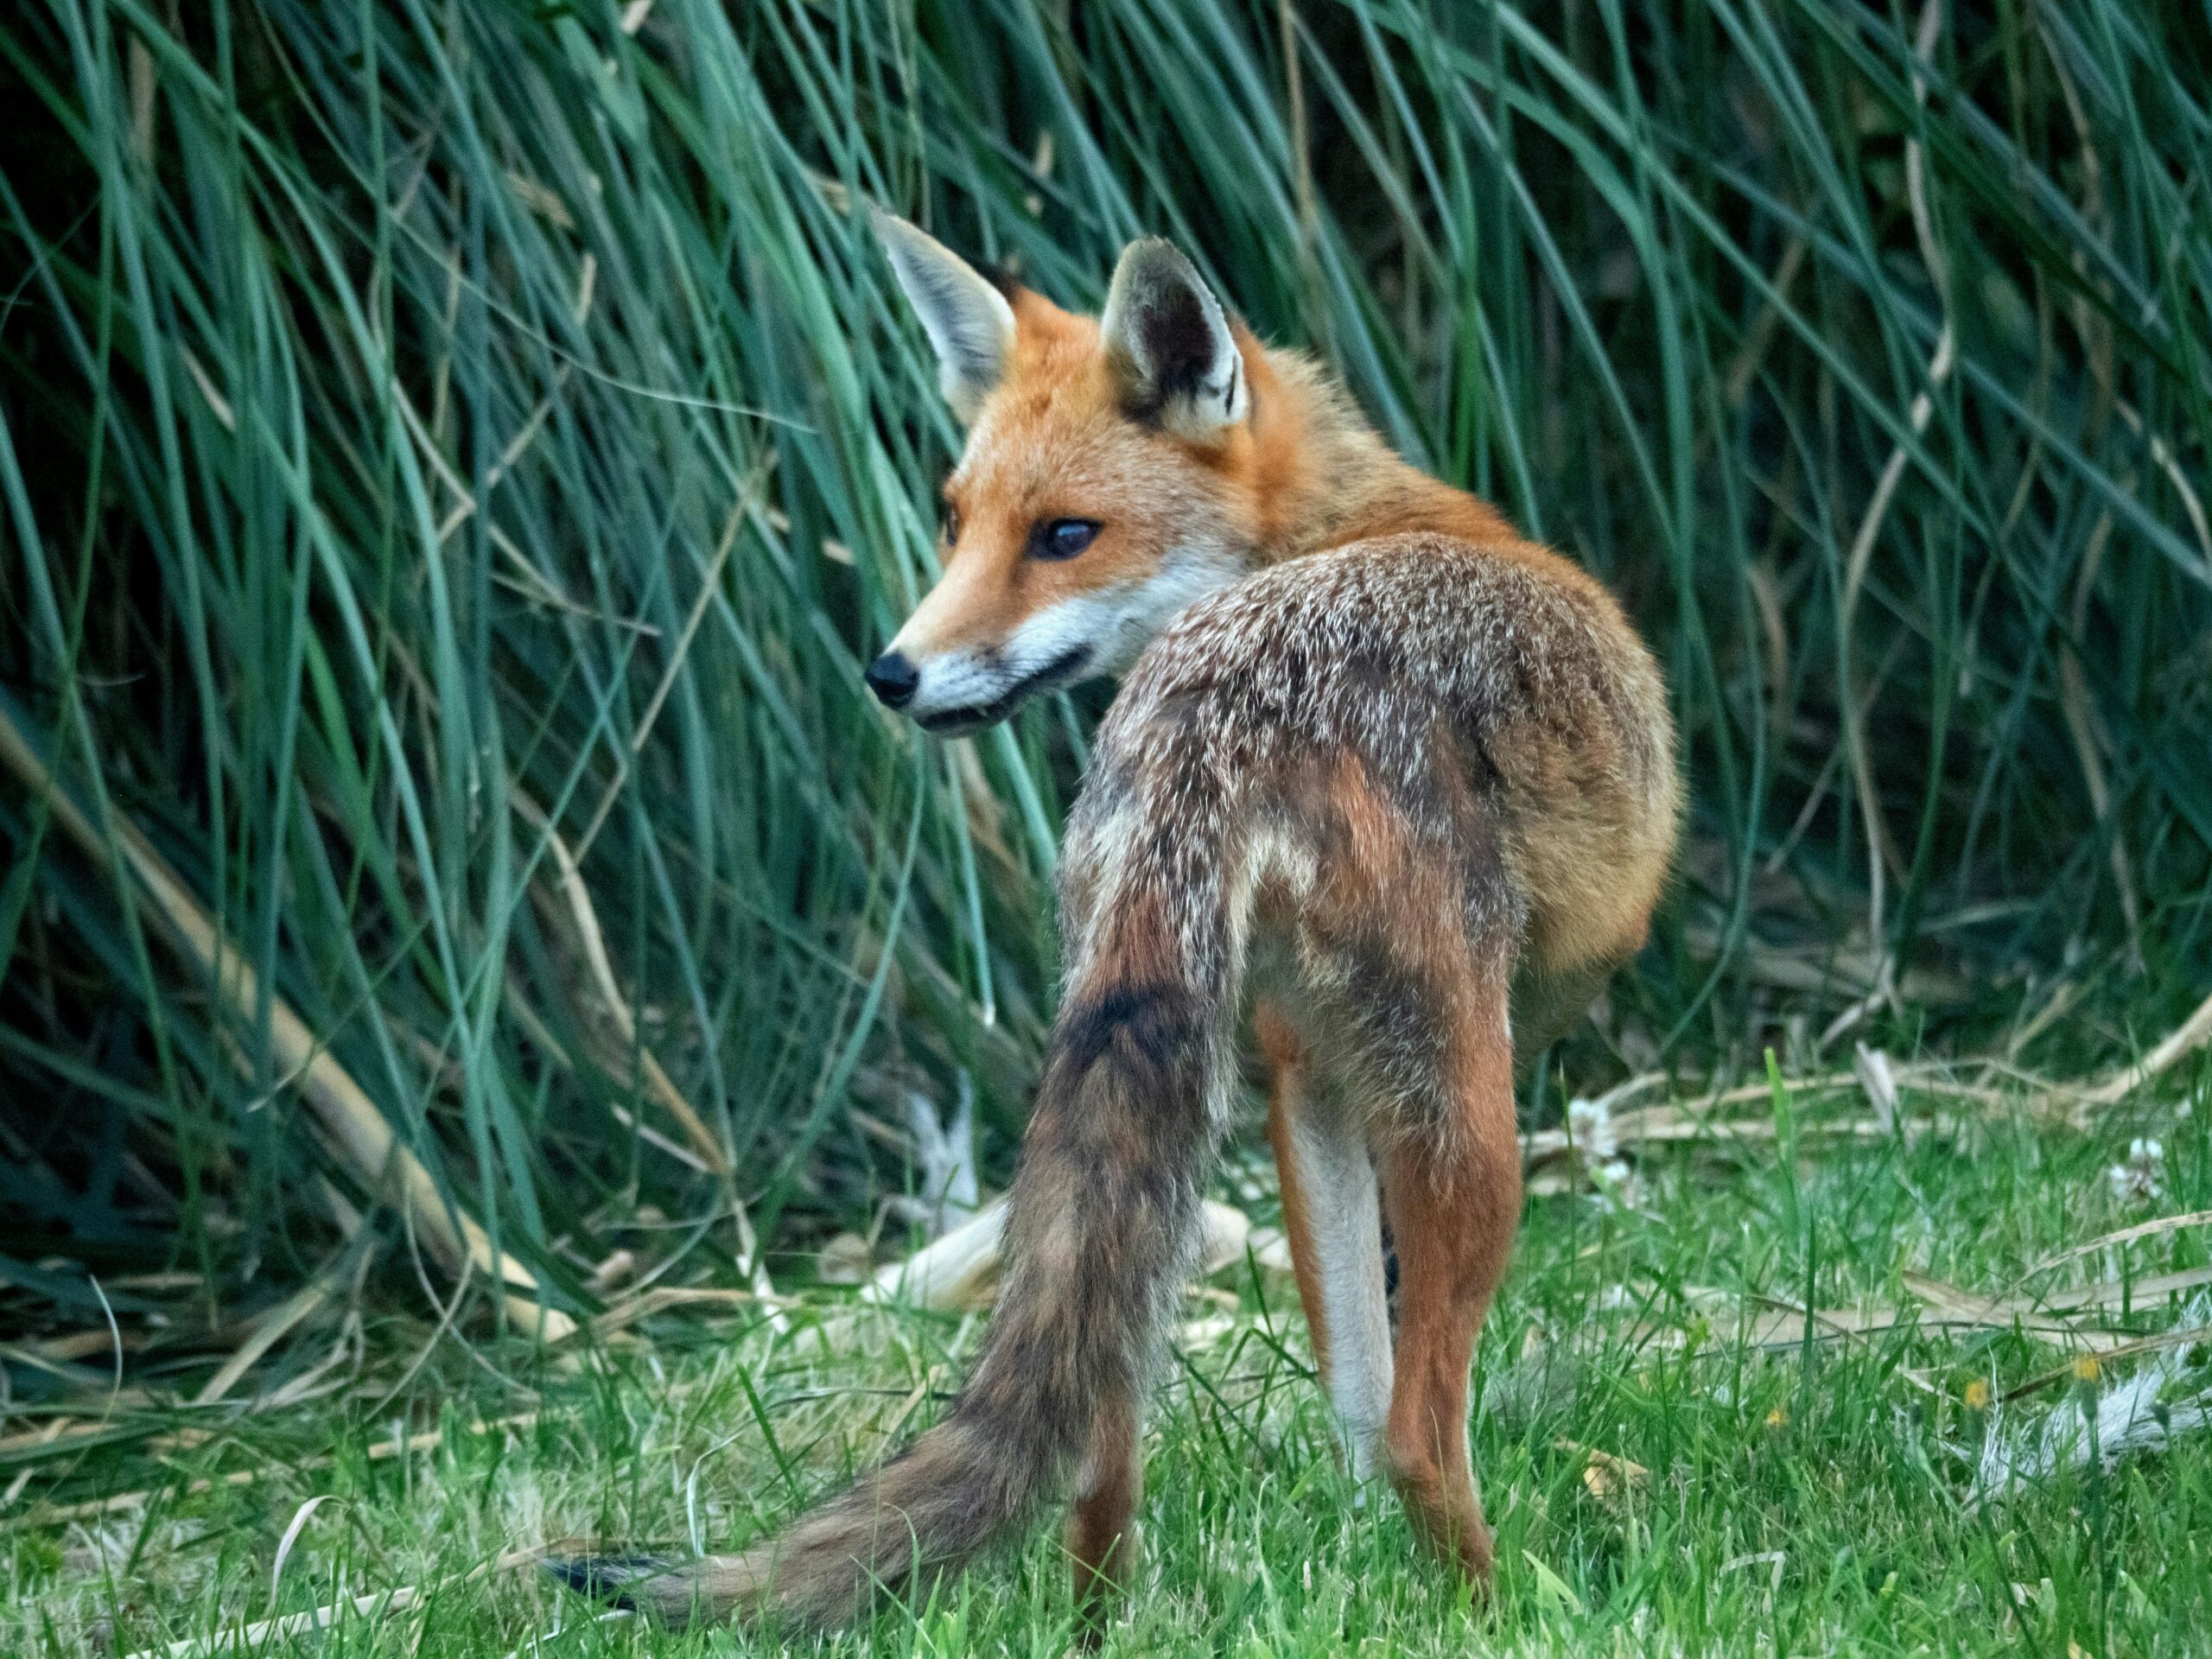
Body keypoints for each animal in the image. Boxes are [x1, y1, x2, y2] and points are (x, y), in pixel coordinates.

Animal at [550, 210, 1679, 1631]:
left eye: (1062, 536)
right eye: (961, 523)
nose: (891, 674)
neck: (1329, 533)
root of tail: (1214, 699)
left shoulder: (1299, 1070)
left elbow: (1348, 1394)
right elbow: (1381, 1401)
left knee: (1100, 1445)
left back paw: (1104, 1621)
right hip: (1472, 1118)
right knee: (1424, 1432)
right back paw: (1497, 1611)